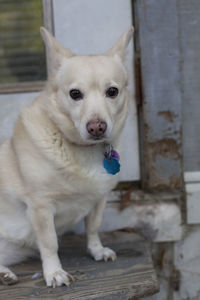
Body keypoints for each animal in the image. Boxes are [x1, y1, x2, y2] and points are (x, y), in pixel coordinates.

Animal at [0, 27, 134, 288]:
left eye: (112, 92)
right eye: (75, 94)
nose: (97, 127)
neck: (84, 150)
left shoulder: (99, 199)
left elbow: (93, 227)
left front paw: (97, 250)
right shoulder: (41, 208)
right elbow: (50, 243)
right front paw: (54, 272)